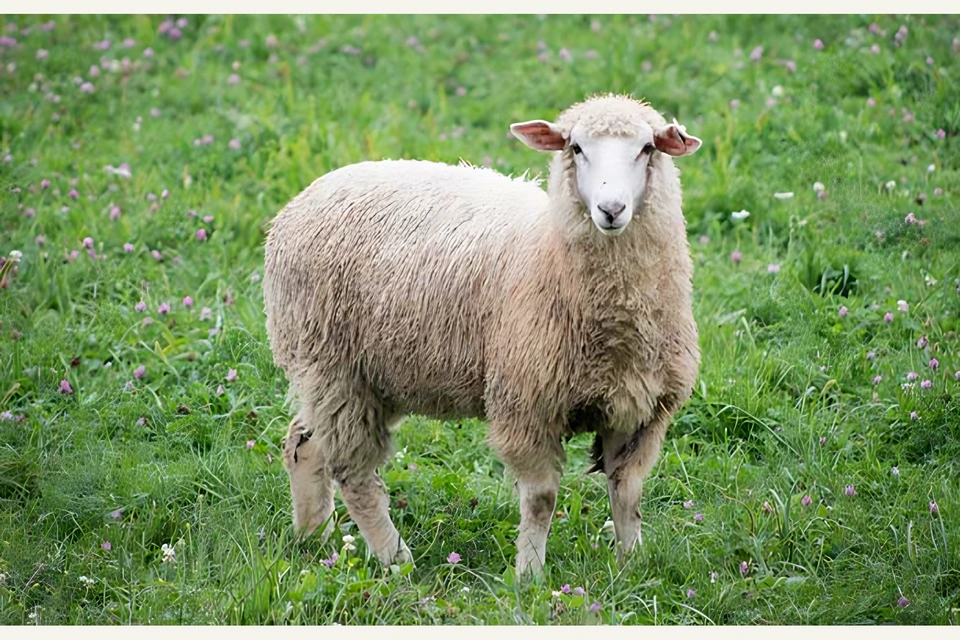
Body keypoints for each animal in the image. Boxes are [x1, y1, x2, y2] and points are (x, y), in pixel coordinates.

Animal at [263, 94, 702, 576]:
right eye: (576, 148)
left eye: (647, 148)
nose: (611, 210)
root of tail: (304, 197)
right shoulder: (525, 403)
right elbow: (541, 498)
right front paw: (530, 574)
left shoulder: (640, 408)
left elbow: (627, 492)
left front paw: (631, 568)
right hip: (332, 365)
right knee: (354, 473)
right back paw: (396, 560)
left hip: (373, 377)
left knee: (303, 442)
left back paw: (314, 537)